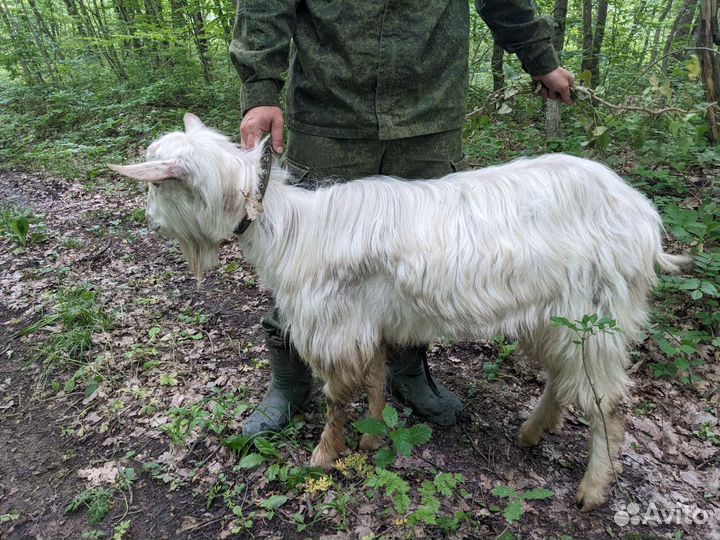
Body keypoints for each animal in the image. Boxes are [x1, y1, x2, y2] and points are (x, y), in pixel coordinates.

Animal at [110, 113, 688, 512]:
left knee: (607, 403)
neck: (290, 227)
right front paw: (371, 438)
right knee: (563, 380)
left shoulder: (334, 328)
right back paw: (532, 432)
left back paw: (591, 488)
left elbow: (337, 396)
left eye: (158, 184)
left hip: (597, 316)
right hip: (555, 317)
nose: (148, 219)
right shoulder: (369, 323)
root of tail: (644, 218)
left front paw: (325, 454)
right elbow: (374, 381)